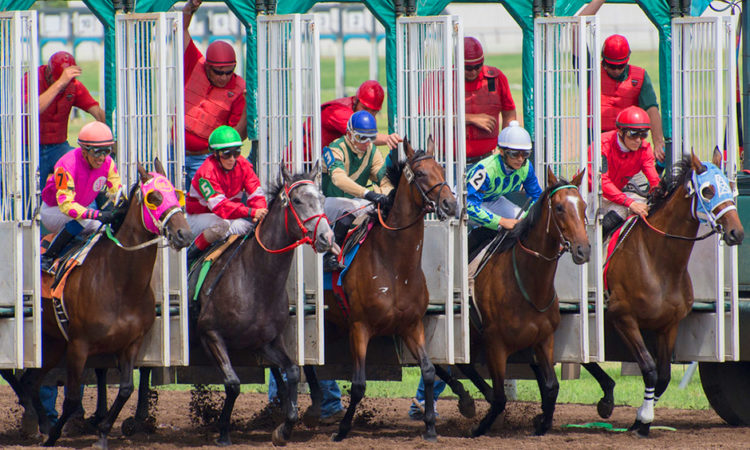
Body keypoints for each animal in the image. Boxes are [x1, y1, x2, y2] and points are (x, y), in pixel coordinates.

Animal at [9, 160, 191, 448]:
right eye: (154, 198)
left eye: (176, 194)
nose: (185, 234)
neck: (120, 283)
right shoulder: (79, 345)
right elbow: (72, 399)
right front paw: (56, 435)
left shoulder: (131, 344)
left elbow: (126, 389)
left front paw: (103, 433)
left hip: (51, 342)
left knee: (30, 382)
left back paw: (43, 425)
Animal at [189, 163, 335, 446]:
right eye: (297, 201)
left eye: (322, 199)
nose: (326, 237)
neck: (255, 280)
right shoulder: (210, 333)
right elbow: (232, 383)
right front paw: (223, 432)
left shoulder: (265, 341)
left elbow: (291, 371)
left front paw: (284, 428)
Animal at [302, 137, 458, 442]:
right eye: (420, 173)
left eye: (442, 169)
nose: (450, 203)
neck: (394, 265)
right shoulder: (360, 327)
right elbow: (359, 384)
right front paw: (342, 430)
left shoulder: (411, 325)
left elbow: (428, 370)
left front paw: (430, 427)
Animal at [580, 150, 744, 437]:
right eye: (708, 190)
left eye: (727, 185)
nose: (737, 232)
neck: (657, 261)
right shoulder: (623, 318)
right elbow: (649, 369)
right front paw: (643, 420)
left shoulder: (668, 324)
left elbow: (664, 376)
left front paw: (641, 419)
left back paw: (607, 396)